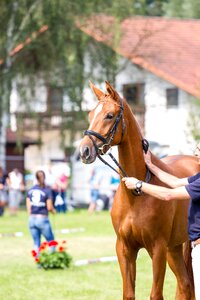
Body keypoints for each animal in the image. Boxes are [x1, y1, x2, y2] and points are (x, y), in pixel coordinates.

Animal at [78, 81, 198, 298]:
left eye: (109, 115)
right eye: (91, 115)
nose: (84, 151)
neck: (135, 196)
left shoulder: (157, 249)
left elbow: (156, 294)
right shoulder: (124, 248)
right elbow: (128, 293)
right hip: (174, 248)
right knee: (185, 285)